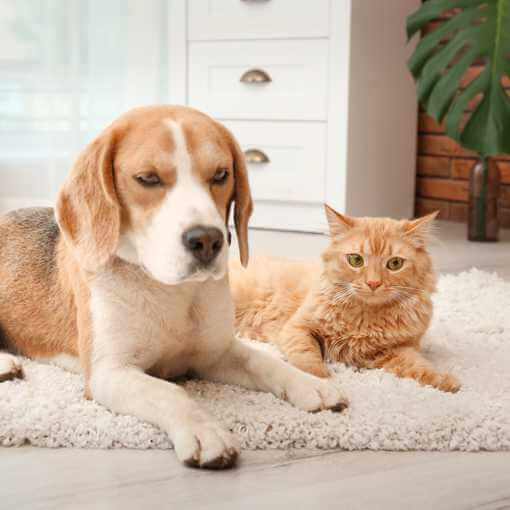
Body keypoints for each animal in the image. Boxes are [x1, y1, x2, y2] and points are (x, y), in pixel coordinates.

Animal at [0, 105, 346, 468]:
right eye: (147, 178)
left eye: (221, 174)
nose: (207, 240)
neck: (171, 291)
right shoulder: (109, 373)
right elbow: (169, 392)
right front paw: (205, 431)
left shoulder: (216, 353)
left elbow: (264, 361)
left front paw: (310, 384)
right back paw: (6, 365)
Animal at [229, 205, 460, 392]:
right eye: (355, 260)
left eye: (395, 264)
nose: (373, 283)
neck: (365, 321)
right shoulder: (298, 327)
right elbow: (306, 355)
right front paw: (319, 378)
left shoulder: (398, 349)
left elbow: (420, 366)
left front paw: (445, 381)